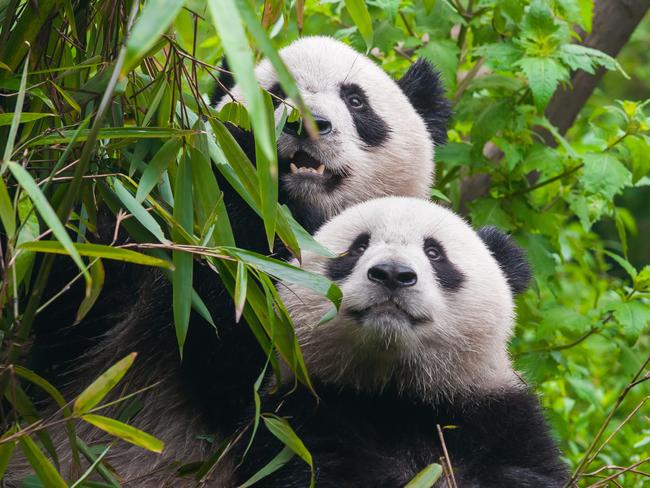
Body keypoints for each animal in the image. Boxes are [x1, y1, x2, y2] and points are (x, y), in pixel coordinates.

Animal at [228, 196, 568, 486]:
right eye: (357, 247)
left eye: (434, 253)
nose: (392, 273)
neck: (398, 394)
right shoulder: (298, 421)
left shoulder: (502, 423)